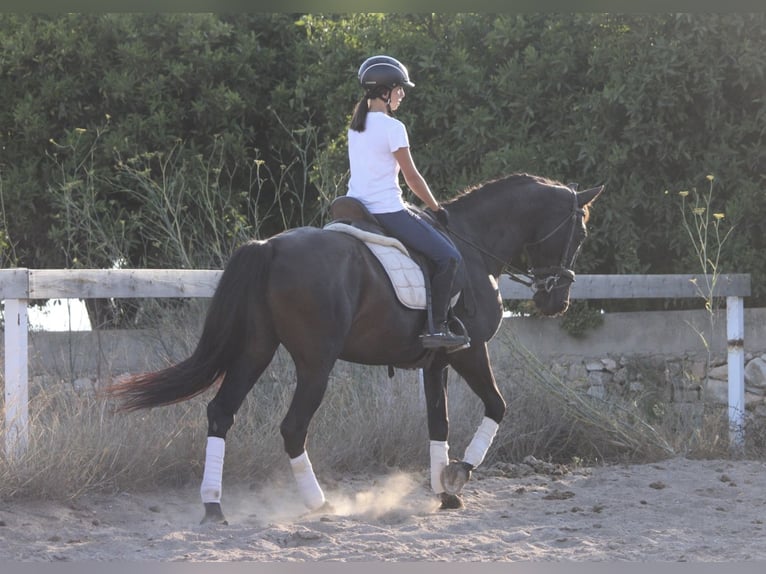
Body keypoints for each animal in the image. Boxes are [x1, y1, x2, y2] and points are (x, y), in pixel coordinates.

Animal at [103, 173, 608, 524]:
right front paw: (457, 475)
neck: (474, 245)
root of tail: (269, 247)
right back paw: (320, 504)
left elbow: (438, 423)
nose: (555, 301)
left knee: (220, 413)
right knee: (292, 428)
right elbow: (497, 407)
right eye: (581, 234)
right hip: (315, 363)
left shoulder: (436, 361)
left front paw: (442, 490)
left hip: (256, 351)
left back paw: (214, 507)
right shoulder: (468, 351)